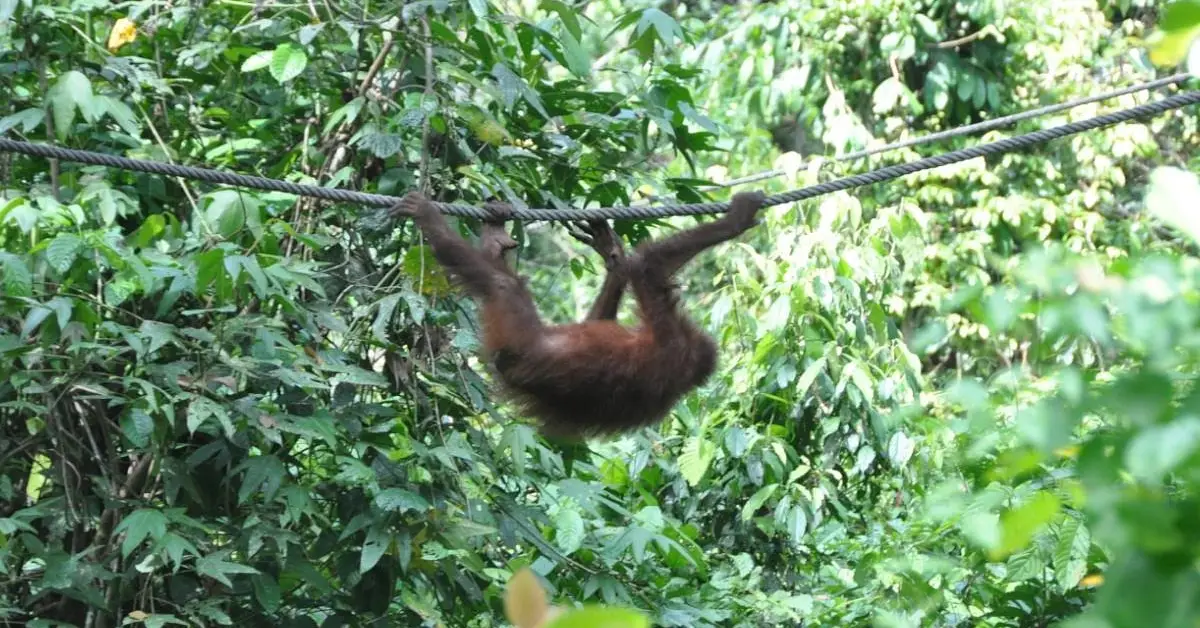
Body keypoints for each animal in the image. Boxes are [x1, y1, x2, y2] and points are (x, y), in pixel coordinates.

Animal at [391, 189, 768, 439]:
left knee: (503, 285)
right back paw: (496, 237)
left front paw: (735, 221)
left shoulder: (673, 339)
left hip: (515, 335)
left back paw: (431, 220)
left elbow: (649, 267)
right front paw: (613, 256)